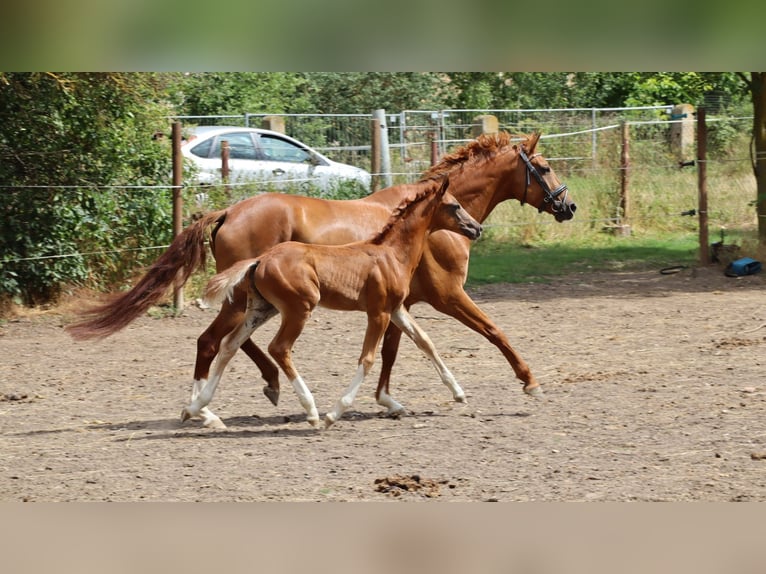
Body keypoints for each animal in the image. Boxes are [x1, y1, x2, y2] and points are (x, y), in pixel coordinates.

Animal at [182, 177, 483, 428]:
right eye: (455, 206)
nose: (477, 228)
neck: (391, 253)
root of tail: (260, 260)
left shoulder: (396, 309)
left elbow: (425, 341)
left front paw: (459, 393)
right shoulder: (378, 313)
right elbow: (368, 358)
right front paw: (334, 413)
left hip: (262, 309)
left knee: (230, 344)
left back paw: (196, 408)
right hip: (298, 309)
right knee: (278, 348)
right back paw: (311, 410)